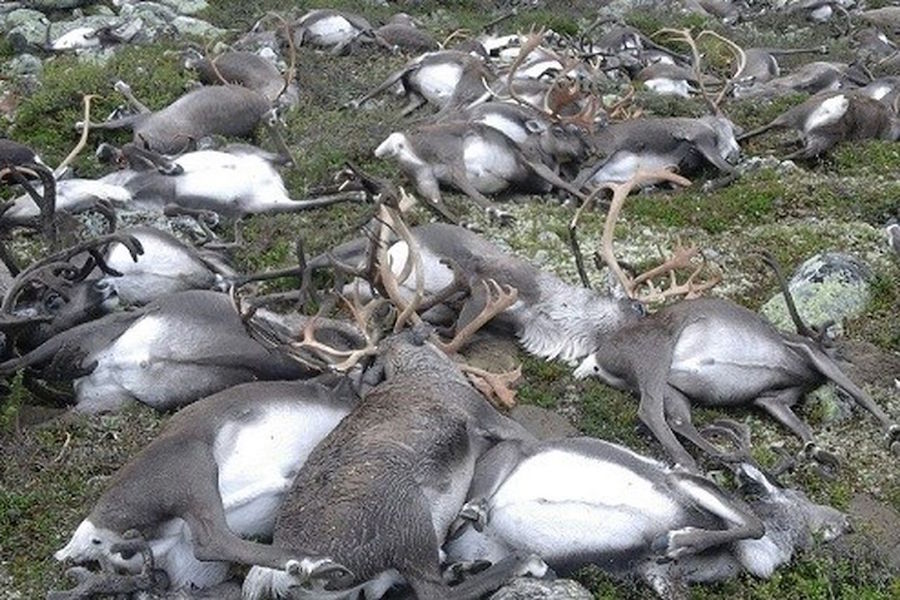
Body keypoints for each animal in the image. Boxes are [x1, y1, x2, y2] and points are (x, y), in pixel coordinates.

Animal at [445, 437, 850, 598]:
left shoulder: (657, 577)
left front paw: (671, 543)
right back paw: (477, 511)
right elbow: (752, 524)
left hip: (488, 550)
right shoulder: (684, 482)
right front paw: (674, 541)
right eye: (798, 497)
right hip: (506, 457)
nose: (845, 520)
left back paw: (465, 568)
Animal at [570, 170, 900, 473]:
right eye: (849, 349)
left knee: (676, 419)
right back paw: (694, 463)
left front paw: (815, 450)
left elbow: (805, 430)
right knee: (649, 411)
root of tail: (597, 357)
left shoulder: (771, 399)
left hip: (670, 389)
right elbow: (857, 391)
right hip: (655, 355)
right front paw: (892, 429)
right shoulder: (807, 351)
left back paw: (727, 456)